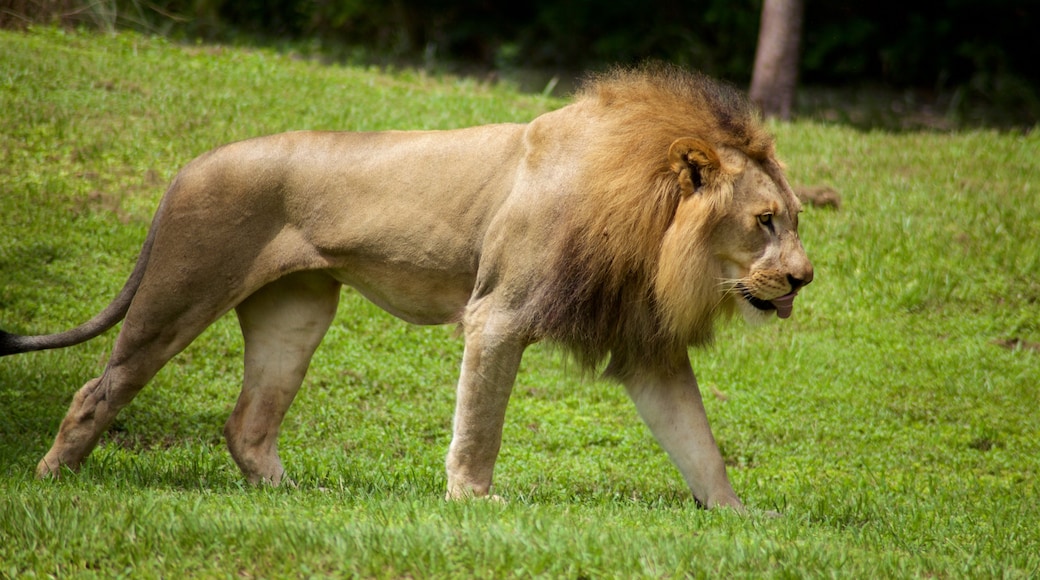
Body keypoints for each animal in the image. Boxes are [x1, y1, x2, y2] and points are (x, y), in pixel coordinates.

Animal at [0, 63, 811, 511]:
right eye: (764, 220)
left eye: (794, 219)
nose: (804, 279)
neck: (652, 221)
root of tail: (187, 167)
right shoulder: (498, 315)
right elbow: (479, 425)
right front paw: (474, 502)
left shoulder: (647, 346)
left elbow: (697, 440)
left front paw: (739, 516)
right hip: (181, 291)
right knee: (98, 389)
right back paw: (51, 482)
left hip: (297, 313)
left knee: (247, 423)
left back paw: (300, 498)